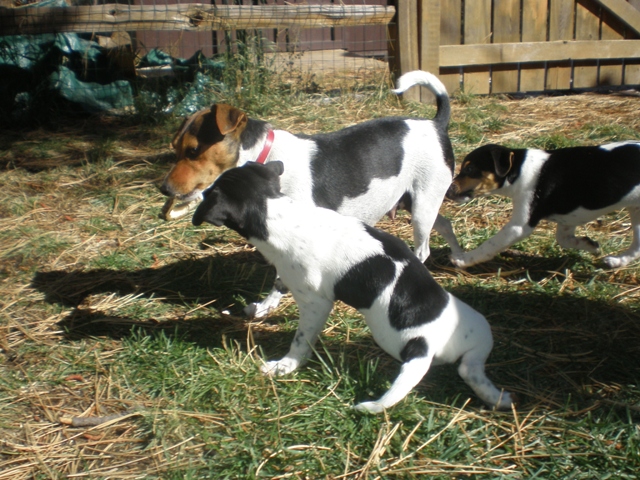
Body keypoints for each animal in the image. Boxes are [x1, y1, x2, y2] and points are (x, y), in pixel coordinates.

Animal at [160, 70, 460, 318]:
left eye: (194, 151)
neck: (264, 156)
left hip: (421, 208)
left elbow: (280, 280)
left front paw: (265, 307)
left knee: (423, 248)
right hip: (417, 202)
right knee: (444, 223)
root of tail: (436, 124)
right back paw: (458, 256)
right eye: (174, 147)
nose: (163, 188)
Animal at [192, 160, 512, 412]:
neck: (278, 211)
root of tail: (425, 343)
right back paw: (498, 398)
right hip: (480, 332)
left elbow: (300, 341)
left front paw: (286, 365)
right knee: (471, 370)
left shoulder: (315, 303)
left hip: (389, 338)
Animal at [448, 142, 640, 268]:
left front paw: (464, 259)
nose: (448, 191)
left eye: (470, 169)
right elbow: (564, 240)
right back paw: (617, 261)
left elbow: (490, 244)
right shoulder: (568, 219)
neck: (519, 171)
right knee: (637, 247)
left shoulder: (518, 226)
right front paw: (590, 245)